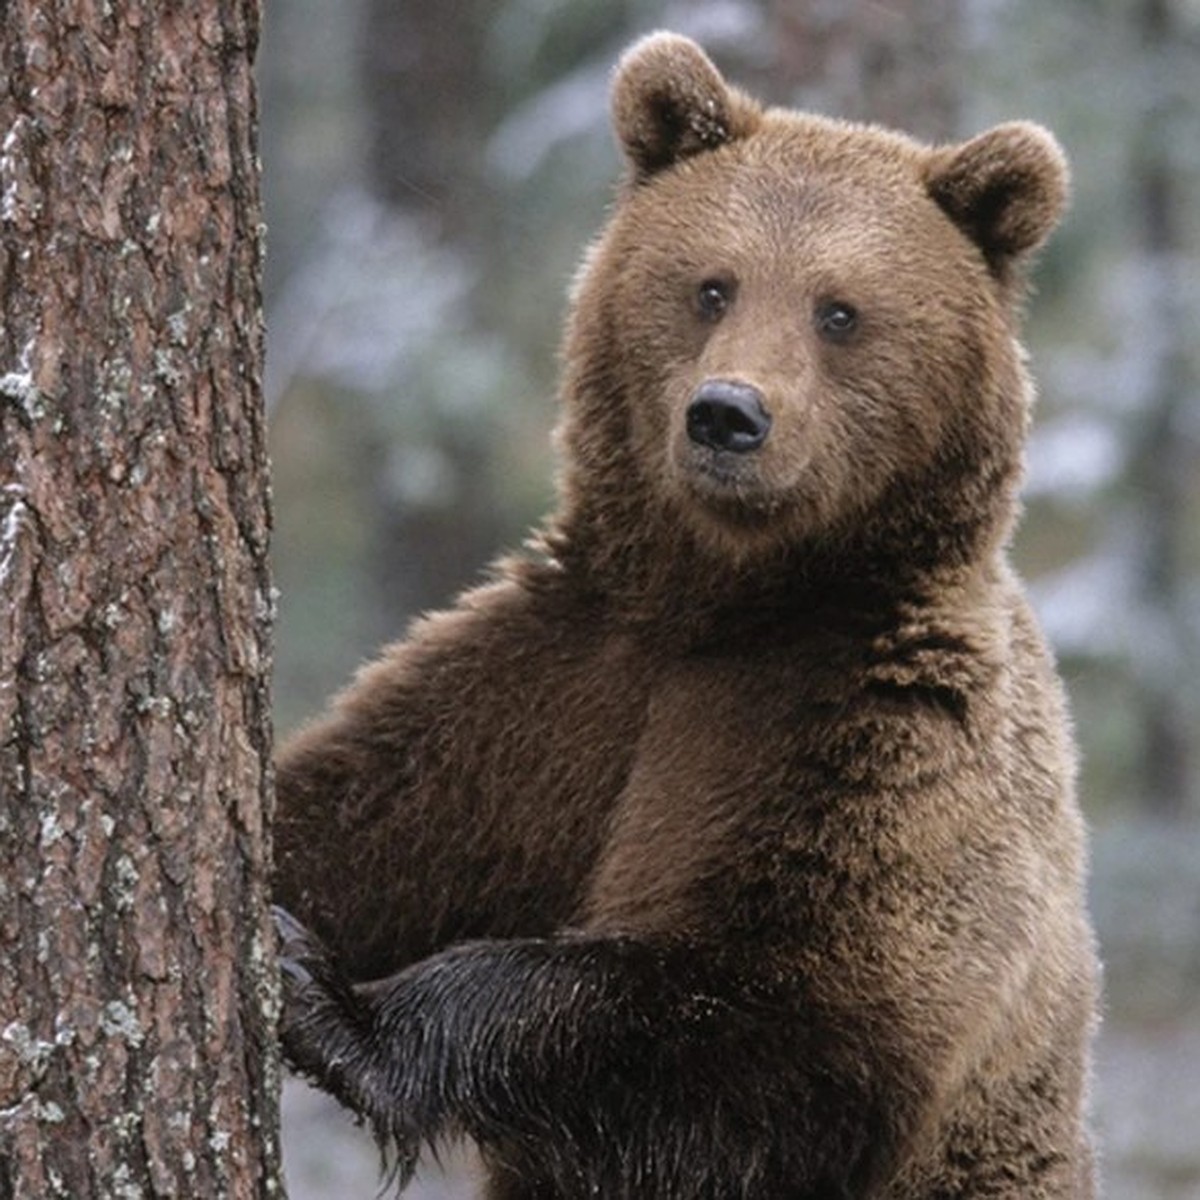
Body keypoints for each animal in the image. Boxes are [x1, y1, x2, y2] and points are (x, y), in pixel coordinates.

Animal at [276, 30, 1099, 1200]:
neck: (729, 599)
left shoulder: (876, 736)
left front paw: (338, 1008)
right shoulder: (557, 683)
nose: (728, 415)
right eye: (712, 285)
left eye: (839, 310)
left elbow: (772, 1023)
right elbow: (358, 811)